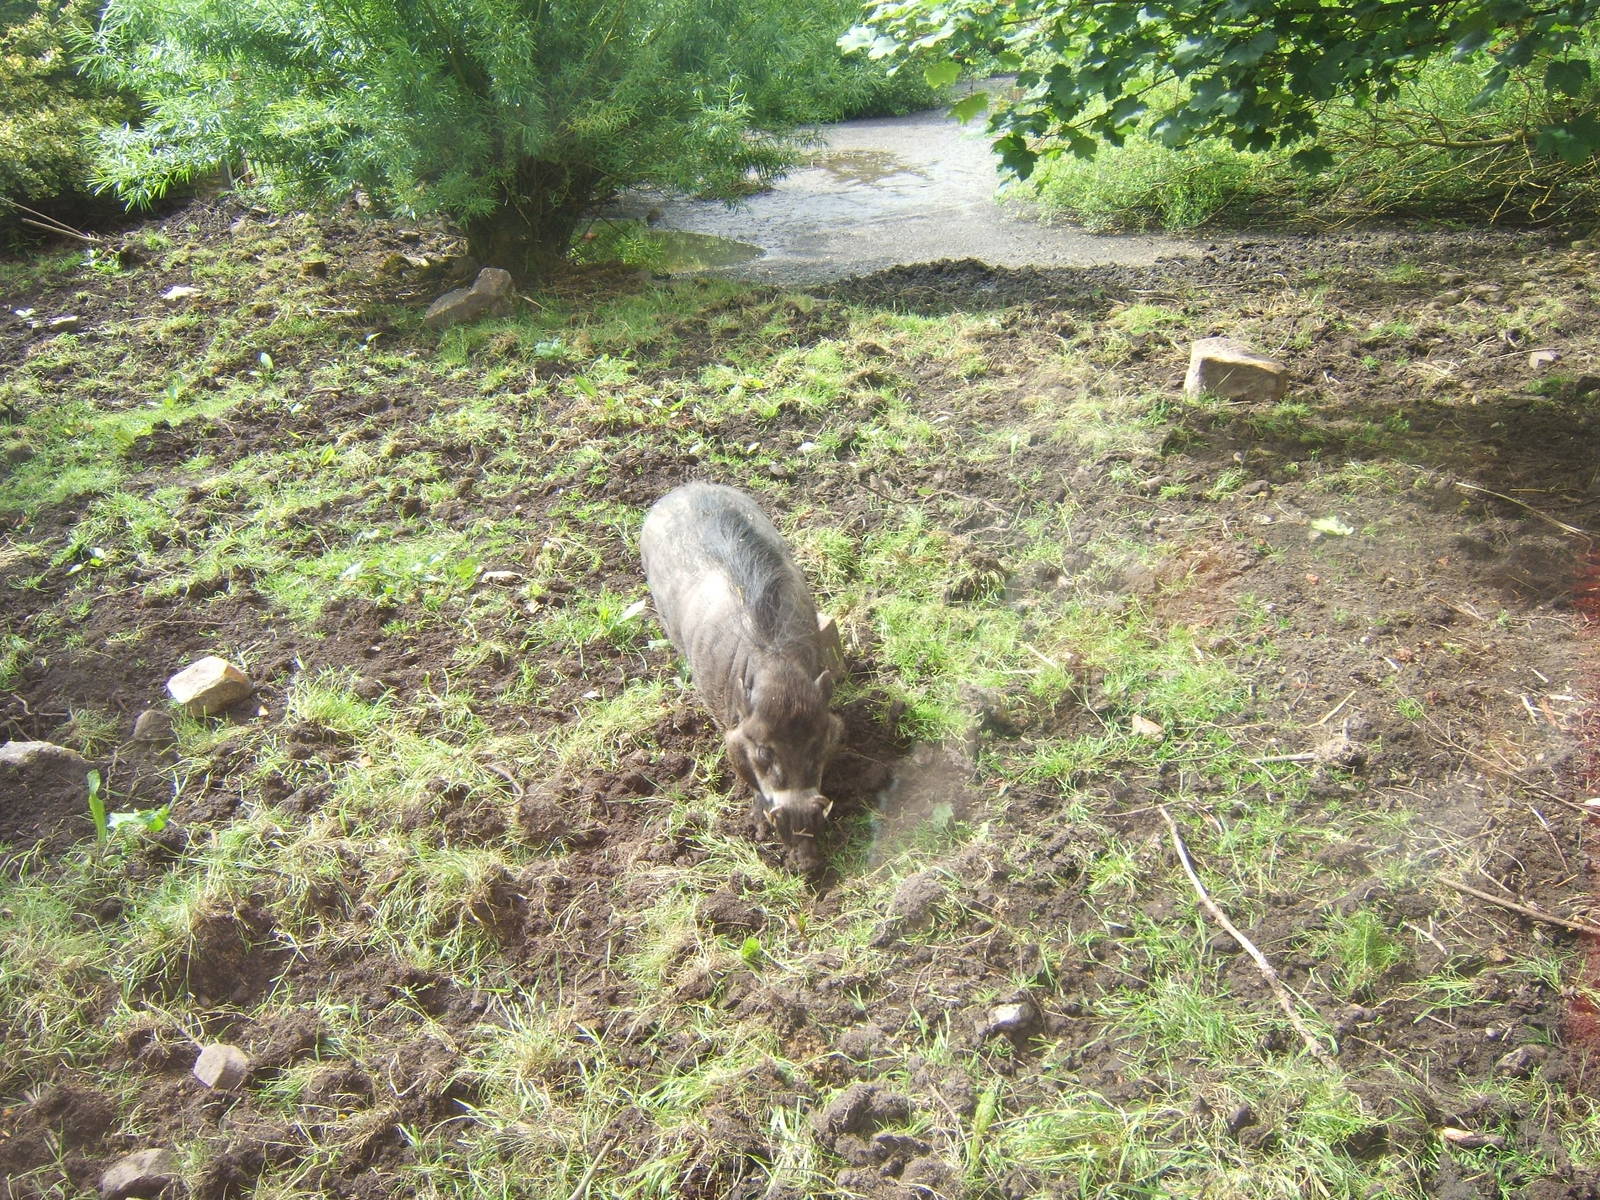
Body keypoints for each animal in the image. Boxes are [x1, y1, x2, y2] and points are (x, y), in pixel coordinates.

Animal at [641, 482, 844, 871]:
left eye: (817, 743)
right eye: (763, 750)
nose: (807, 863)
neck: (778, 670)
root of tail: (683, 488)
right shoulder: (732, 736)